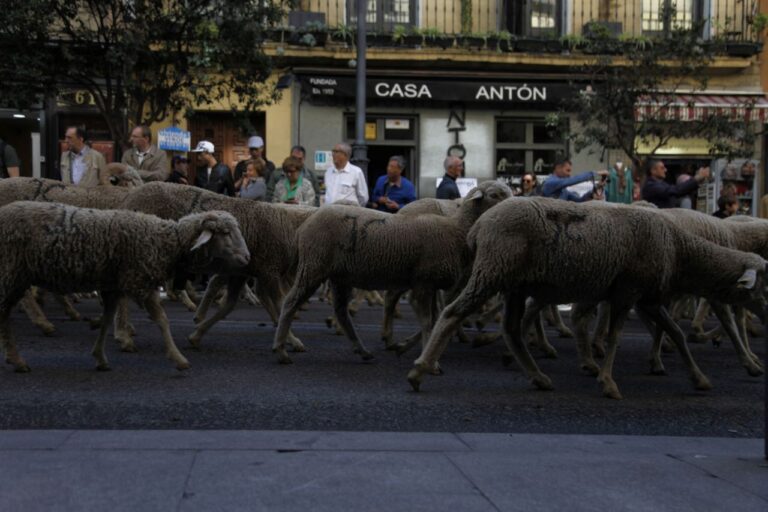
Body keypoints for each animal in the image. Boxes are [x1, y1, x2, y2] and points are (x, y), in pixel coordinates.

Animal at [0, 200, 249, 372]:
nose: (247, 258)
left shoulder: (114, 286)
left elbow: (107, 319)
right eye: (226, 233)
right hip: (11, 271)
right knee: (5, 313)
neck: (167, 242)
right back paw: (18, 357)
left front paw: (100, 357)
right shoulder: (139, 280)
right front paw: (178, 358)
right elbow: (162, 320)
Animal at [117, 181, 316, 352]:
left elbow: (231, 306)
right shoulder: (269, 270)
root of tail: (129, 198)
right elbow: (281, 305)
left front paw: (197, 334)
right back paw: (124, 335)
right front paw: (292, 339)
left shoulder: (248, 271)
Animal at [270, 180, 510, 364]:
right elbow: (428, 320)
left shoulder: (431, 283)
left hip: (339, 275)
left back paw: (362, 350)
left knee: (341, 311)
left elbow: (434, 318)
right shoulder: (424, 283)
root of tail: (304, 225)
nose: (512, 208)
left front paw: (414, 348)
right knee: (290, 302)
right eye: (494, 195)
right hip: (314, 265)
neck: (457, 228)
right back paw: (281, 349)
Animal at [404, 198, 764, 398]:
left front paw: (699, 378)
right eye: (763, 285)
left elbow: (675, 332)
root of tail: (478, 226)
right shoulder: (627, 291)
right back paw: (420, 369)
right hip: (494, 270)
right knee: (453, 313)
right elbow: (616, 336)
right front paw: (608, 382)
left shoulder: (646, 297)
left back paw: (538, 376)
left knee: (512, 328)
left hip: (515, 283)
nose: (766, 312)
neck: (679, 248)